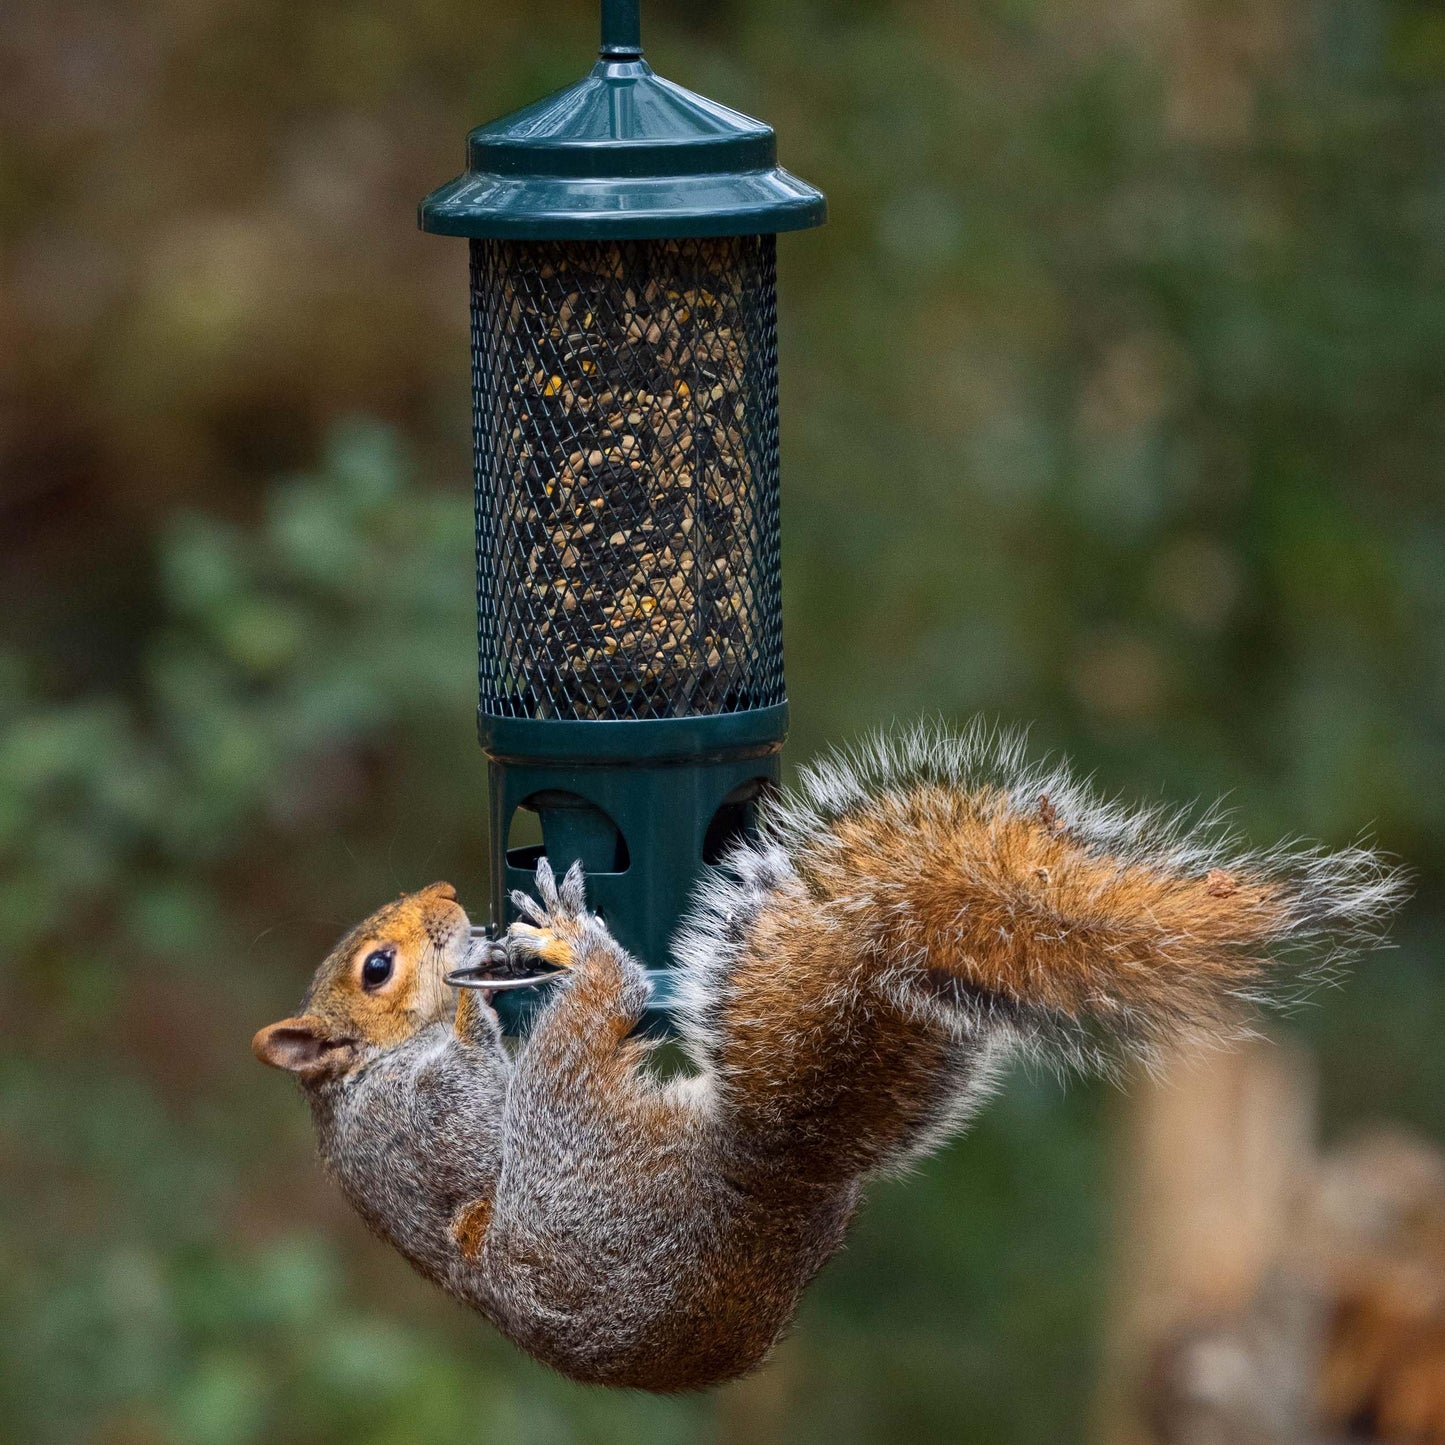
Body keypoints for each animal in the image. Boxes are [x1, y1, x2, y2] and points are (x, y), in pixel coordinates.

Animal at [253, 725, 1405, 1393]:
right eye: (375, 967)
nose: (448, 898)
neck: (363, 1075)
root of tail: (767, 1171)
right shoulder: (422, 1117)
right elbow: (460, 1108)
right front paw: (477, 997)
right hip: (569, 1131)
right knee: (584, 1034)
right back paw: (580, 956)